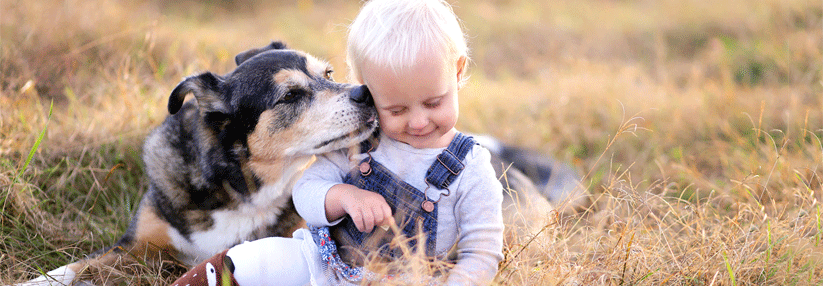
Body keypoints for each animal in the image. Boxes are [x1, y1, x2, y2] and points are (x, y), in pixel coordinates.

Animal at [19, 41, 584, 284]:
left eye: (328, 73)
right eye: (291, 95)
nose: (366, 92)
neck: (241, 185)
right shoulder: (135, 244)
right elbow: (72, 268)